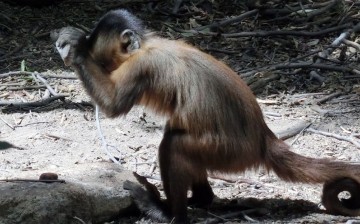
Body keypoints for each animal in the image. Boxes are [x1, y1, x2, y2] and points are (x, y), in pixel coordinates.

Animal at [52, 9, 360, 224]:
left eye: (96, 52)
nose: (90, 54)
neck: (146, 45)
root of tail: (264, 138)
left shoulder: (142, 66)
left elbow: (113, 106)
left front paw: (75, 48)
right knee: (176, 137)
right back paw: (201, 199)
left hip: (229, 154)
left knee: (174, 144)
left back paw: (171, 214)